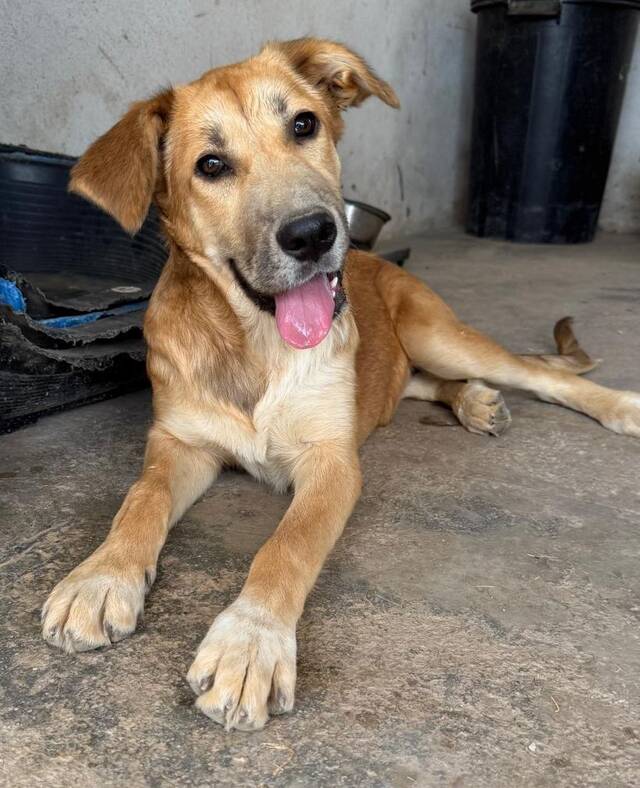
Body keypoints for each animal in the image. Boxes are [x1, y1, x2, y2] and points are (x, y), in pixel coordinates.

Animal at [42, 38, 640, 731]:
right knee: (424, 384)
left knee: (534, 373)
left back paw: (617, 406)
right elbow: (140, 499)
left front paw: (251, 640)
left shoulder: (332, 462)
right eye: (210, 165)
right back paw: (473, 403)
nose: (313, 234)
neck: (255, 343)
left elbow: (287, 545)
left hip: (436, 330)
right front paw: (100, 578)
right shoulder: (180, 442)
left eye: (304, 125)